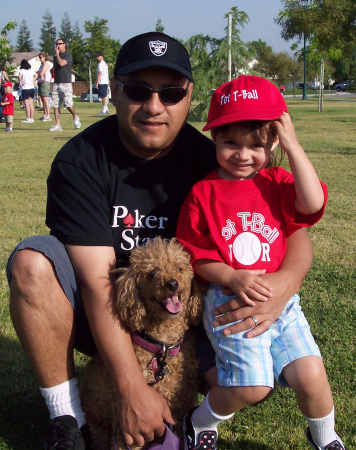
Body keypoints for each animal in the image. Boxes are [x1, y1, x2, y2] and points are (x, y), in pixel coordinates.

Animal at [80, 237, 203, 448]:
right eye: (152, 273)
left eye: (179, 268)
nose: (172, 283)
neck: (162, 345)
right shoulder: (131, 429)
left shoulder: (178, 412)